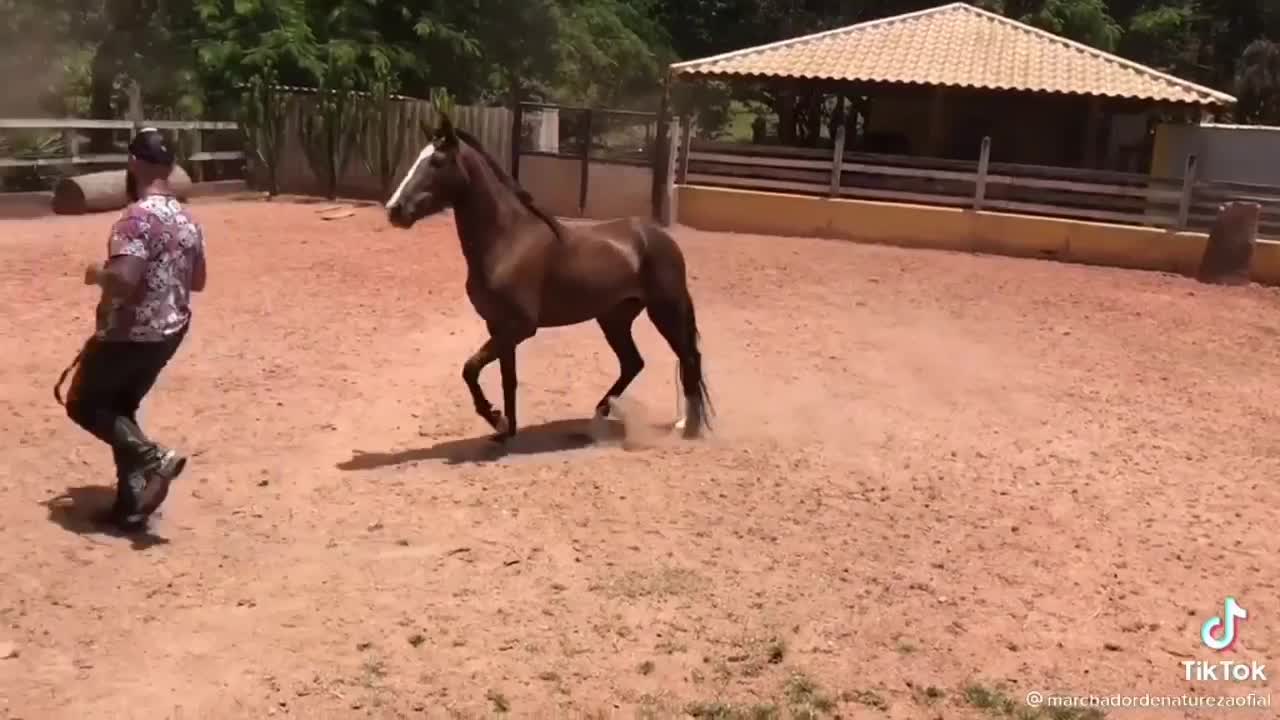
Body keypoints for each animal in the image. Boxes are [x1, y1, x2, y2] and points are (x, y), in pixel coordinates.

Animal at [384, 112, 716, 440]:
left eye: (437, 161)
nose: (394, 210)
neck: (508, 240)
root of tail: (660, 238)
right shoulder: (499, 326)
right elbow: (507, 378)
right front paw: (506, 430)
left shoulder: (519, 327)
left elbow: (470, 369)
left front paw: (496, 419)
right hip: (615, 318)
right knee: (634, 363)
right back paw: (597, 417)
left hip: (665, 311)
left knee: (689, 359)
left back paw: (688, 427)